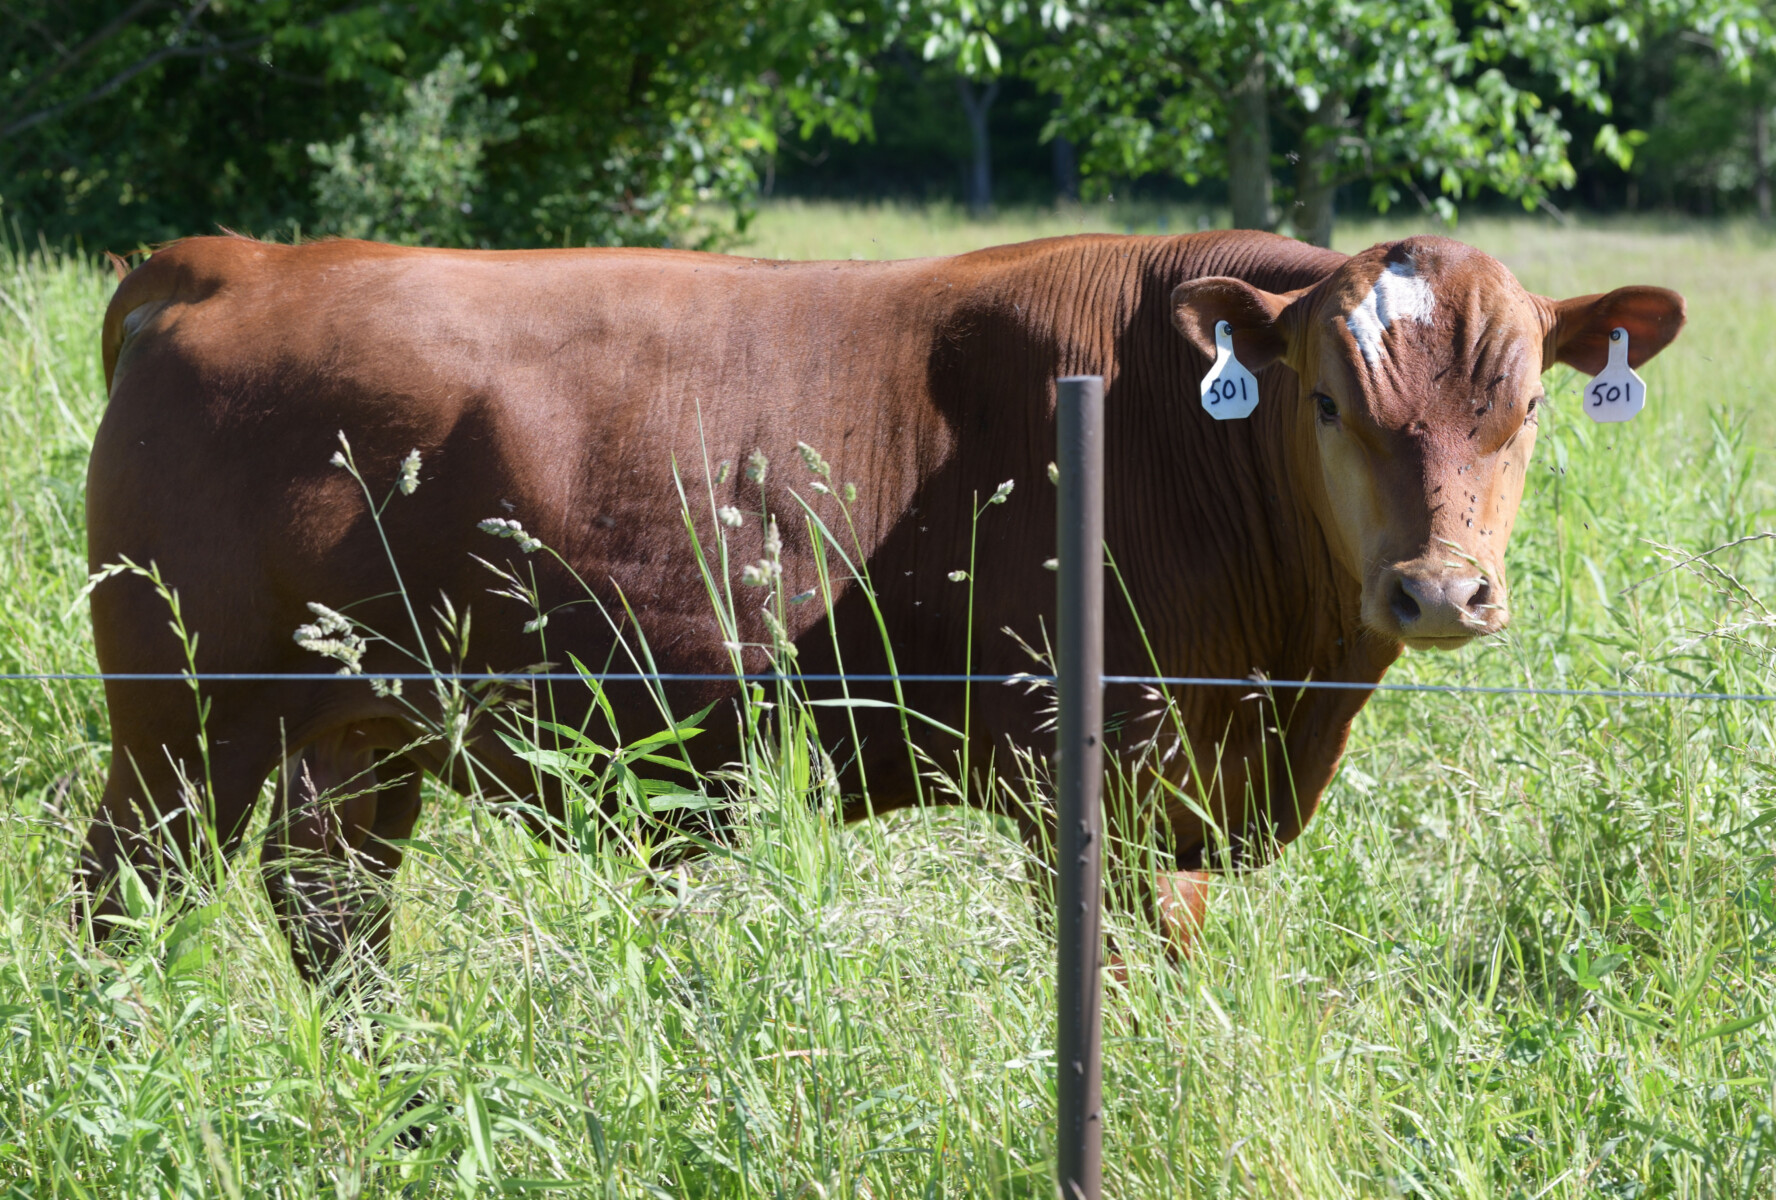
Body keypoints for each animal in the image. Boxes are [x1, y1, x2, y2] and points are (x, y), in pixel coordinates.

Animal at [83, 230, 1685, 978]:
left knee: (331, 912)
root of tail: (245, 261)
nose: (1440, 587)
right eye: (1332, 400)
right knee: (125, 896)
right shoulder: (1104, 775)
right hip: (183, 720)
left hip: (359, 731)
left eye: (1526, 406)